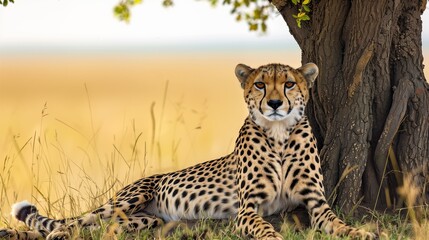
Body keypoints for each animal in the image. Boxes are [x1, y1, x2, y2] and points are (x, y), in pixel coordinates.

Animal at [0, 62, 374, 239]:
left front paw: (360, 232)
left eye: (289, 83)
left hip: (143, 220)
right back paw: (48, 233)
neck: (279, 134)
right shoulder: (247, 209)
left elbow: (337, 223)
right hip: (127, 200)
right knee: (77, 221)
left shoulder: (316, 203)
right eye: (259, 84)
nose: (274, 103)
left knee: (97, 230)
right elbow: (265, 228)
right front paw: (274, 239)